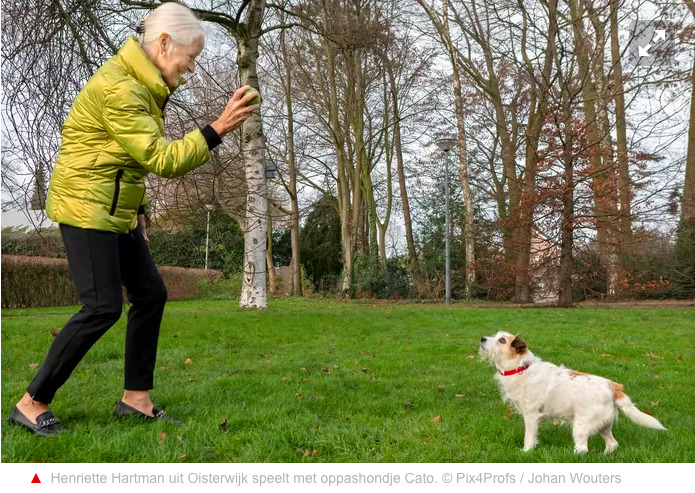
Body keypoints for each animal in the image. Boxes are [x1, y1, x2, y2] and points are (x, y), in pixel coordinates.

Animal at [478, 330, 668, 454]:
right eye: (495, 335)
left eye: (502, 340)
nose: (482, 338)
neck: (520, 368)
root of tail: (613, 387)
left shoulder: (531, 416)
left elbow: (529, 437)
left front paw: (526, 451)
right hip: (603, 425)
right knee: (612, 444)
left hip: (581, 427)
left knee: (583, 449)